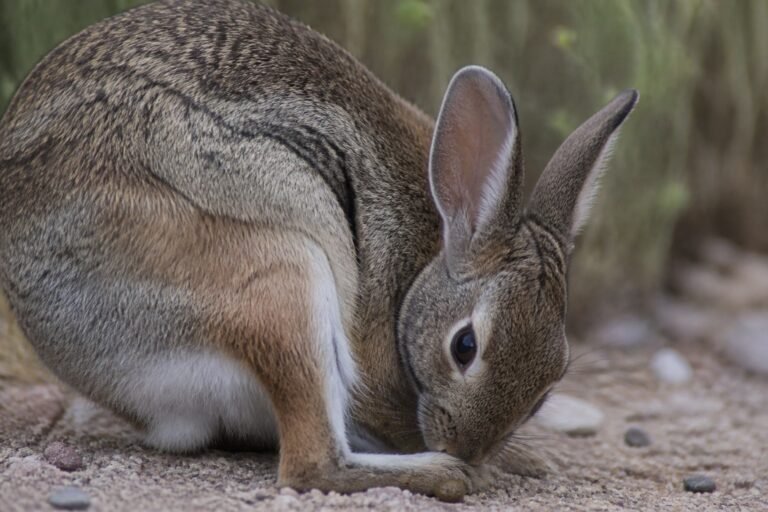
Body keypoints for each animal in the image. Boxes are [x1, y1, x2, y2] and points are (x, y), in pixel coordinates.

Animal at [0, 0, 638, 499]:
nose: (468, 445)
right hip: (285, 278)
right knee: (312, 464)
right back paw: (446, 475)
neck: (429, 262)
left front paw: (524, 459)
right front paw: (487, 466)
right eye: (464, 346)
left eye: (549, 385)